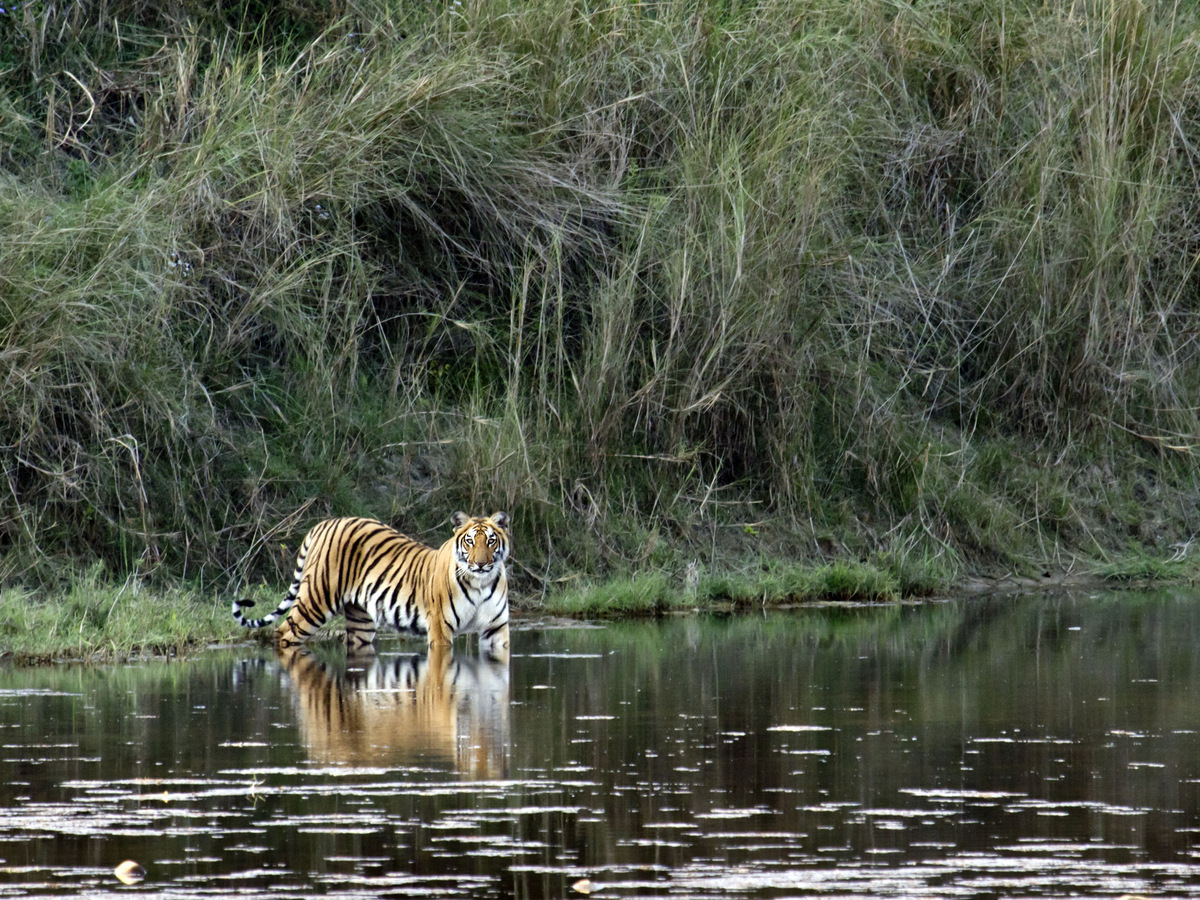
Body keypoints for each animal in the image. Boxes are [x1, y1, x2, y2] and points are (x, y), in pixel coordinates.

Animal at [232, 511, 511, 660]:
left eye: (491, 541)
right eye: (469, 542)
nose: (481, 564)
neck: (481, 583)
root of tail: (323, 524)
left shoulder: (496, 630)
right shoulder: (440, 629)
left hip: (360, 621)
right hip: (315, 601)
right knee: (283, 633)